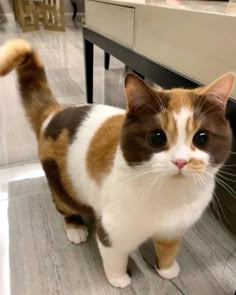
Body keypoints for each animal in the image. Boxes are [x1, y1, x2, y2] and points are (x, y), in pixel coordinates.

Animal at [0, 40, 234, 290]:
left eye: (201, 138)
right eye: (157, 137)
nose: (181, 161)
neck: (170, 196)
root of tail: (55, 114)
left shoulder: (174, 229)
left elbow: (169, 250)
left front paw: (167, 269)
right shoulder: (113, 230)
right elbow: (114, 257)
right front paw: (119, 279)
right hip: (62, 185)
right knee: (65, 206)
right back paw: (75, 228)